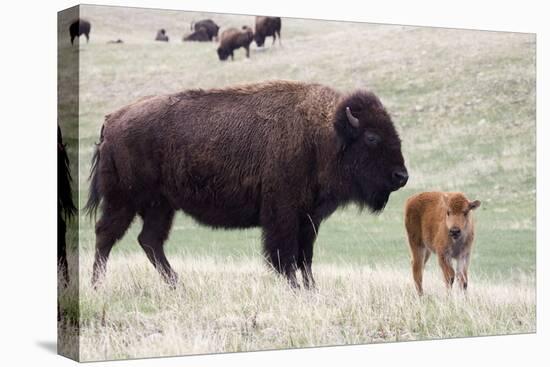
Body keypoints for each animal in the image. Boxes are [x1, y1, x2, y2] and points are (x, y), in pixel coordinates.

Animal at [87, 80, 410, 290]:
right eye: (371, 137)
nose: (402, 176)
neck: (323, 134)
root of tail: (112, 119)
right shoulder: (283, 215)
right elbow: (285, 255)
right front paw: (295, 287)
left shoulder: (309, 218)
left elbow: (305, 256)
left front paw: (311, 288)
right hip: (124, 200)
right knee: (106, 235)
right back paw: (97, 285)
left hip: (161, 205)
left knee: (149, 240)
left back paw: (176, 284)